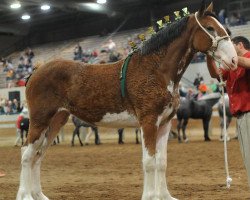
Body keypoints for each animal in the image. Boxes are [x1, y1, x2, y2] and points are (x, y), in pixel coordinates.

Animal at [16, 1, 237, 200]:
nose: (234, 60)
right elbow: (149, 162)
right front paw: (150, 196)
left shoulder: (165, 124)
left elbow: (161, 162)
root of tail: (35, 71)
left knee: (38, 155)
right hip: (40, 120)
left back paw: (39, 195)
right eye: (210, 28)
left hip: (56, 121)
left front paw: (165, 196)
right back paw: (25, 196)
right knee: (27, 154)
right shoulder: (148, 122)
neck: (155, 70)